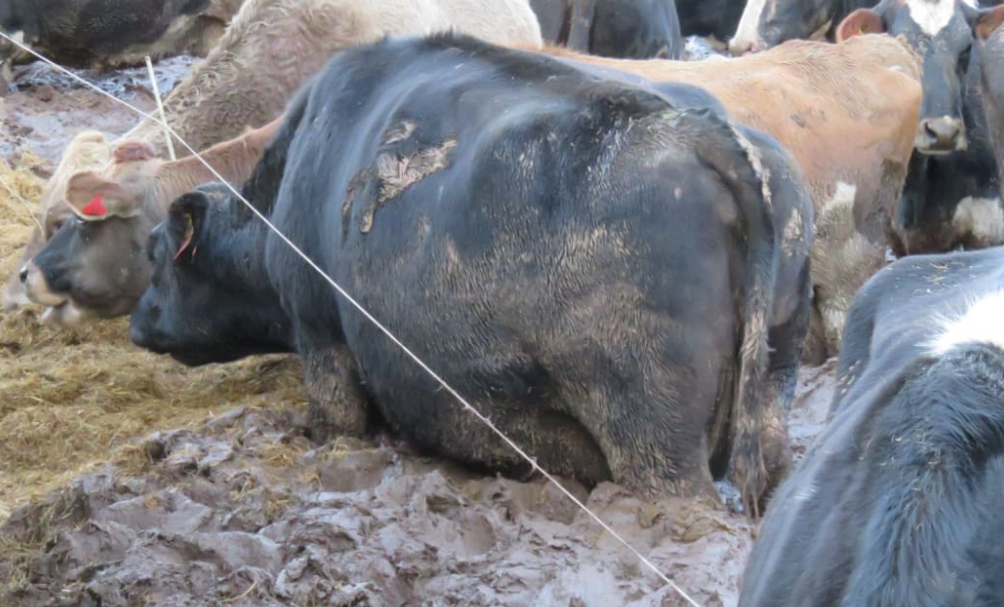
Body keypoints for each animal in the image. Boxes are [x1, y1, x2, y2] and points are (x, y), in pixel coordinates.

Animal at [129, 33, 815, 515]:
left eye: (155, 253)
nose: (135, 323)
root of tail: (700, 131)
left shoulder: (322, 339)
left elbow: (335, 422)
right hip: (773, 385)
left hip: (651, 438)